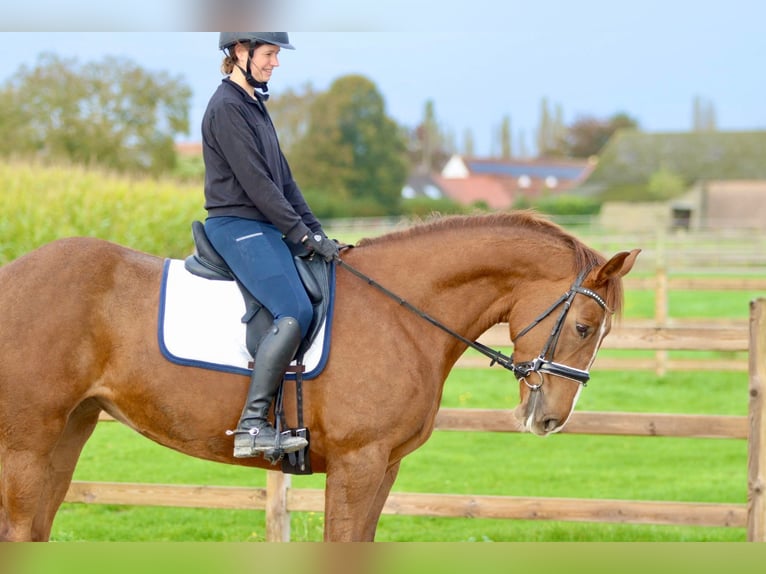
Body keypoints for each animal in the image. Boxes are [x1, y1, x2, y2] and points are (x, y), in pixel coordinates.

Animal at [0, 213, 640, 544]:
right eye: (584, 326)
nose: (549, 417)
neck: (398, 311)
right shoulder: (358, 464)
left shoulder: (385, 466)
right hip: (26, 446)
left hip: (69, 433)